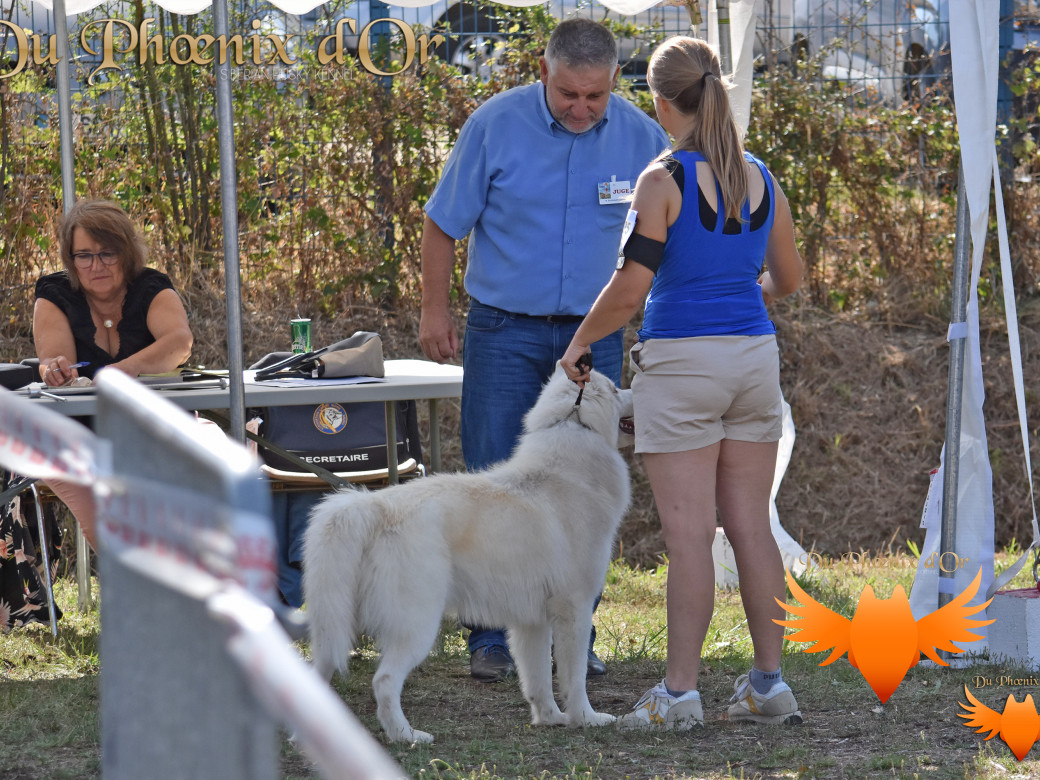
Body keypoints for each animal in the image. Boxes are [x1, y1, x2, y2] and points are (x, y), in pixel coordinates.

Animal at [301, 366, 632, 744]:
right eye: (616, 389)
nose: (635, 389)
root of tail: (371, 506)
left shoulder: (532, 621)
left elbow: (538, 680)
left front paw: (550, 719)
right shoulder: (574, 609)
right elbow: (574, 677)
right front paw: (587, 718)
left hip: (335, 624)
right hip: (417, 624)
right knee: (384, 682)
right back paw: (407, 736)